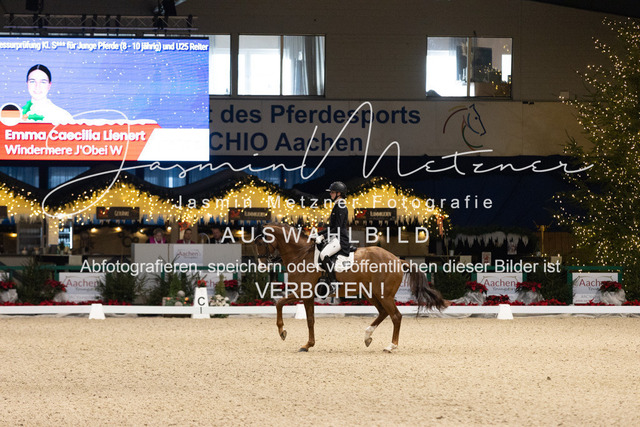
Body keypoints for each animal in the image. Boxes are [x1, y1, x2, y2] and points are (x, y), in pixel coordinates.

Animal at [254, 223, 448, 352]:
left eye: (261, 243)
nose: (262, 266)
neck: (300, 254)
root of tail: (397, 259)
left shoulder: (303, 291)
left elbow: (279, 303)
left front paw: (282, 332)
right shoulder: (308, 295)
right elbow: (310, 320)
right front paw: (307, 345)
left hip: (383, 295)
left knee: (396, 316)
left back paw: (391, 346)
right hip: (371, 293)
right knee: (383, 313)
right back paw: (367, 336)